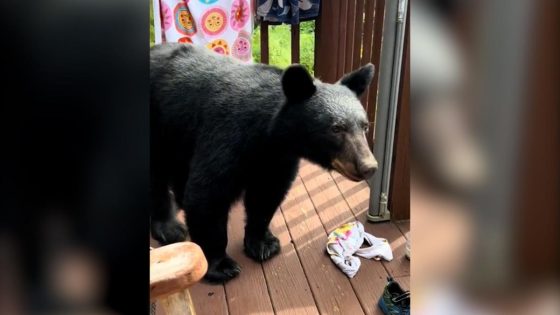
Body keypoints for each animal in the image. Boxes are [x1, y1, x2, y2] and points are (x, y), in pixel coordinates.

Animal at [150, 43, 376, 282]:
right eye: (336, 128)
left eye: (364, 126)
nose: (368, 167)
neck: (268, 136)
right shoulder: (226, 135)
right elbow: (209, 193)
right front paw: (220, 265)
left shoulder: (276, 159)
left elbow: (266, 194)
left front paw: (263, 244)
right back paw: (169, 227)